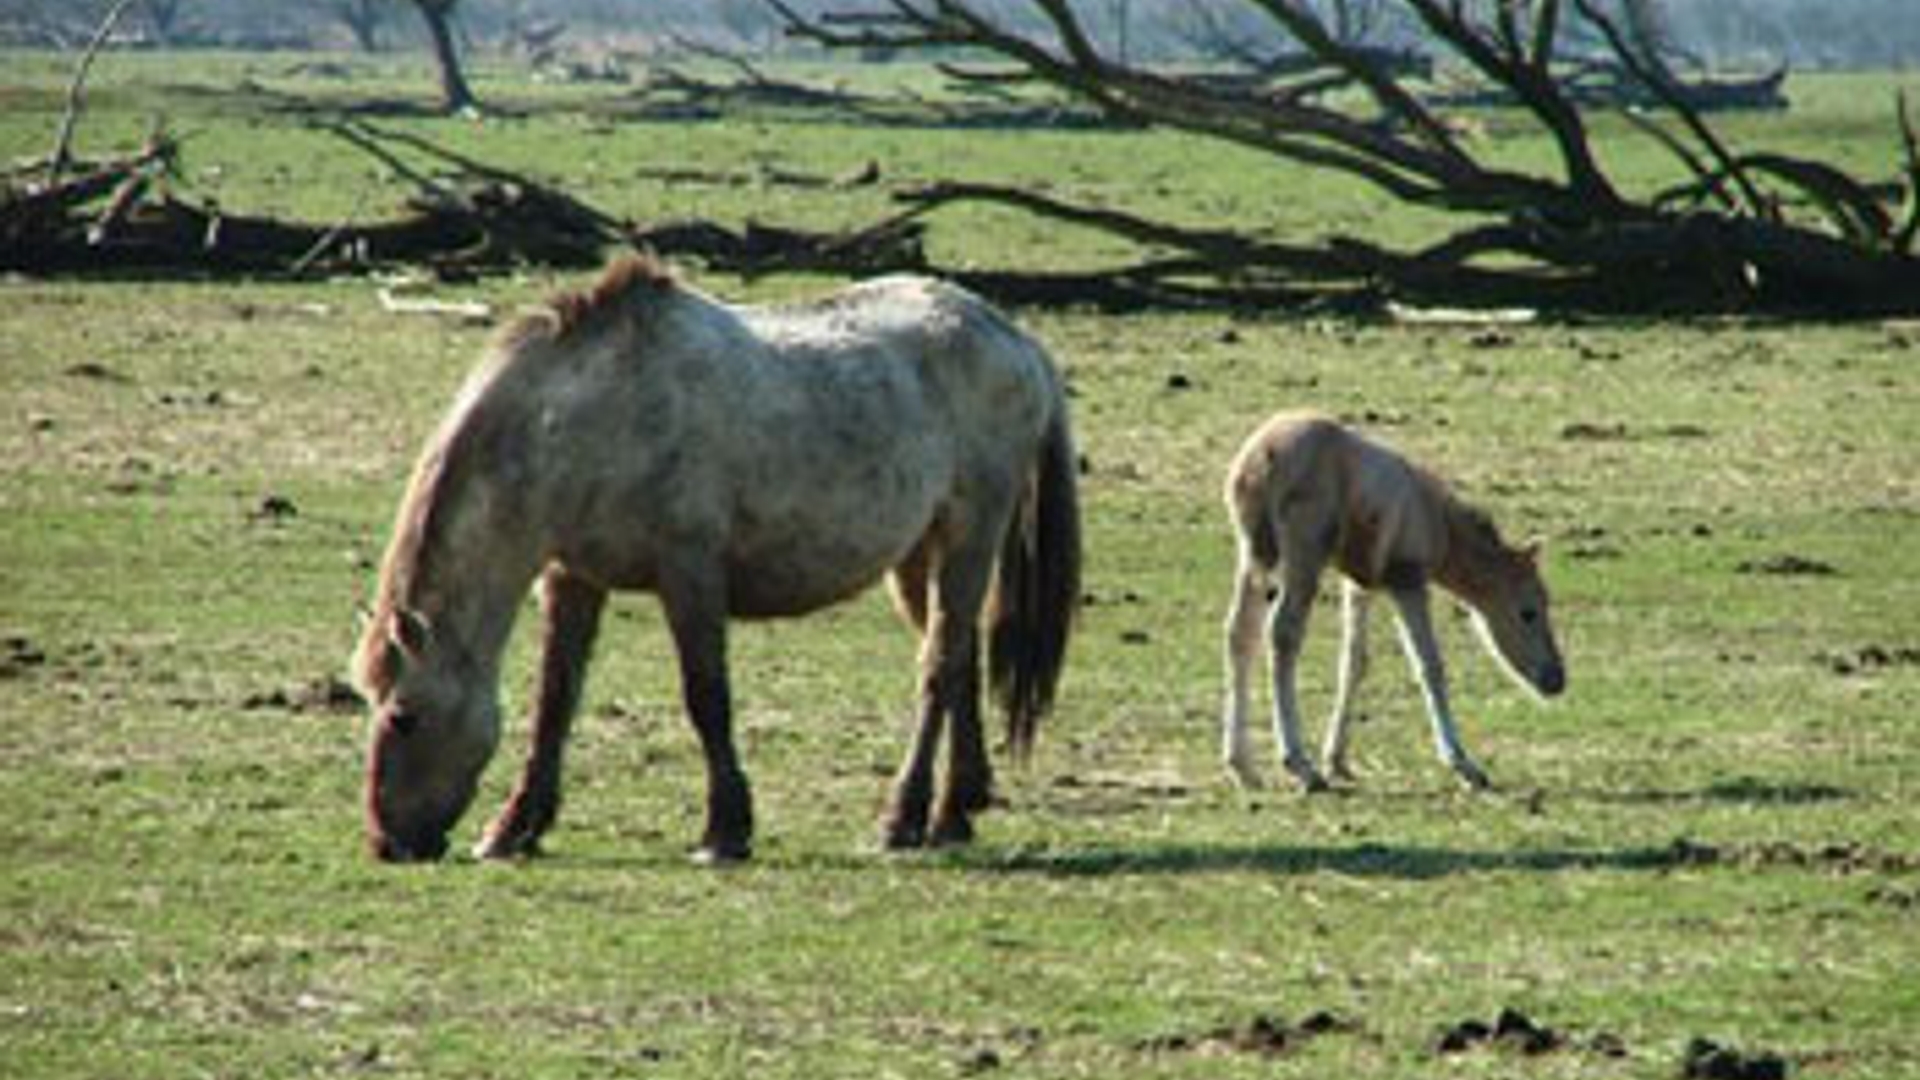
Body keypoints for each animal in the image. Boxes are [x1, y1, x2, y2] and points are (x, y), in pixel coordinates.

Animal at [353, 255, 1082, 860]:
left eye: (403, 716)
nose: (390, 843)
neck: (587, 422)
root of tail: (1018, 342)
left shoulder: (690, 573)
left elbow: (706, 697)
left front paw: (725, 830)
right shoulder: (574, 578)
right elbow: (554, 702)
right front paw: (515, 829)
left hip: (969, 537)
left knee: (938, 666)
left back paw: (903, 819)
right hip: (916, 560)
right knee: (958, 659)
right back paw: (956, 811)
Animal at [1221, 411, 1566, 791]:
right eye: (1528, 612)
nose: (1556, 679)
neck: (1436, 521)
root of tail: (1261, 458)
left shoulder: (1360, 583)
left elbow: (1354, 662)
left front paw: (1337, 759)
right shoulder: (1407, 579)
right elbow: (1429, 664)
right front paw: (1462, 763)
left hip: (1254, 553)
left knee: (1240, 634)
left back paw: (1242, 766)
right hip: (1304, 554)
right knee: (1283, 634)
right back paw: (1298, 763)